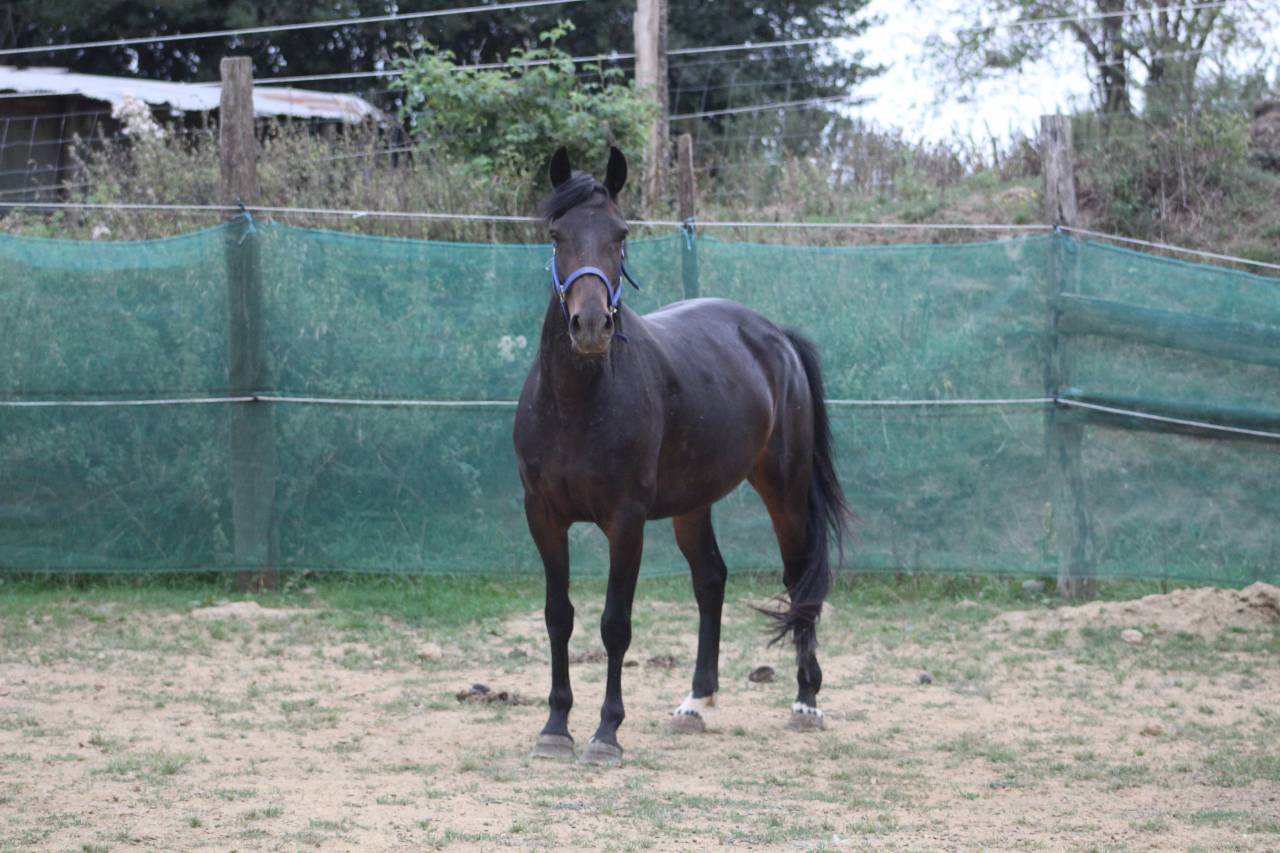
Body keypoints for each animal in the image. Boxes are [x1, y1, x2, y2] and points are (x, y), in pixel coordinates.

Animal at [513, 146, 851, 766]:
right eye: (556, 234)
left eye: (621, 235)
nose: (590, 326)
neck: (576, 403)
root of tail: (776, 336)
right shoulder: (543, 516)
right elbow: (558, 617)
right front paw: (555, 726)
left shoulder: (625, 522)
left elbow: (615, 624)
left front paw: (606, 733)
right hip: (693, 503)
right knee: (711, 579)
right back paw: (696, 702)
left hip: (785, 491)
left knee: (800, 581)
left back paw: (806, 701)